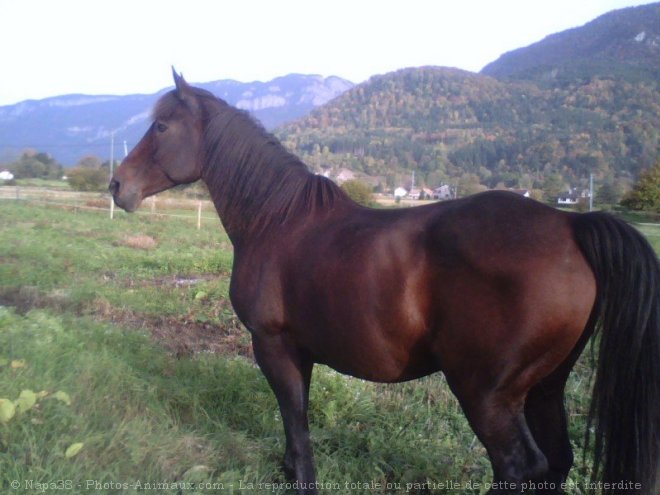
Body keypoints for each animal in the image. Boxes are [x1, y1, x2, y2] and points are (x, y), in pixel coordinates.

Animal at [111, 70, 656, 495]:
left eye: (162, 125)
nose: (118, 186)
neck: (277, 220)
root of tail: (571, 225)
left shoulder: (273, 345)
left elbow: (296, 425)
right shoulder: (299, 352)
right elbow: (296, 423)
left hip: (486, 394)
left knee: (521, 468)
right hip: (545, 386)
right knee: (557, 462)